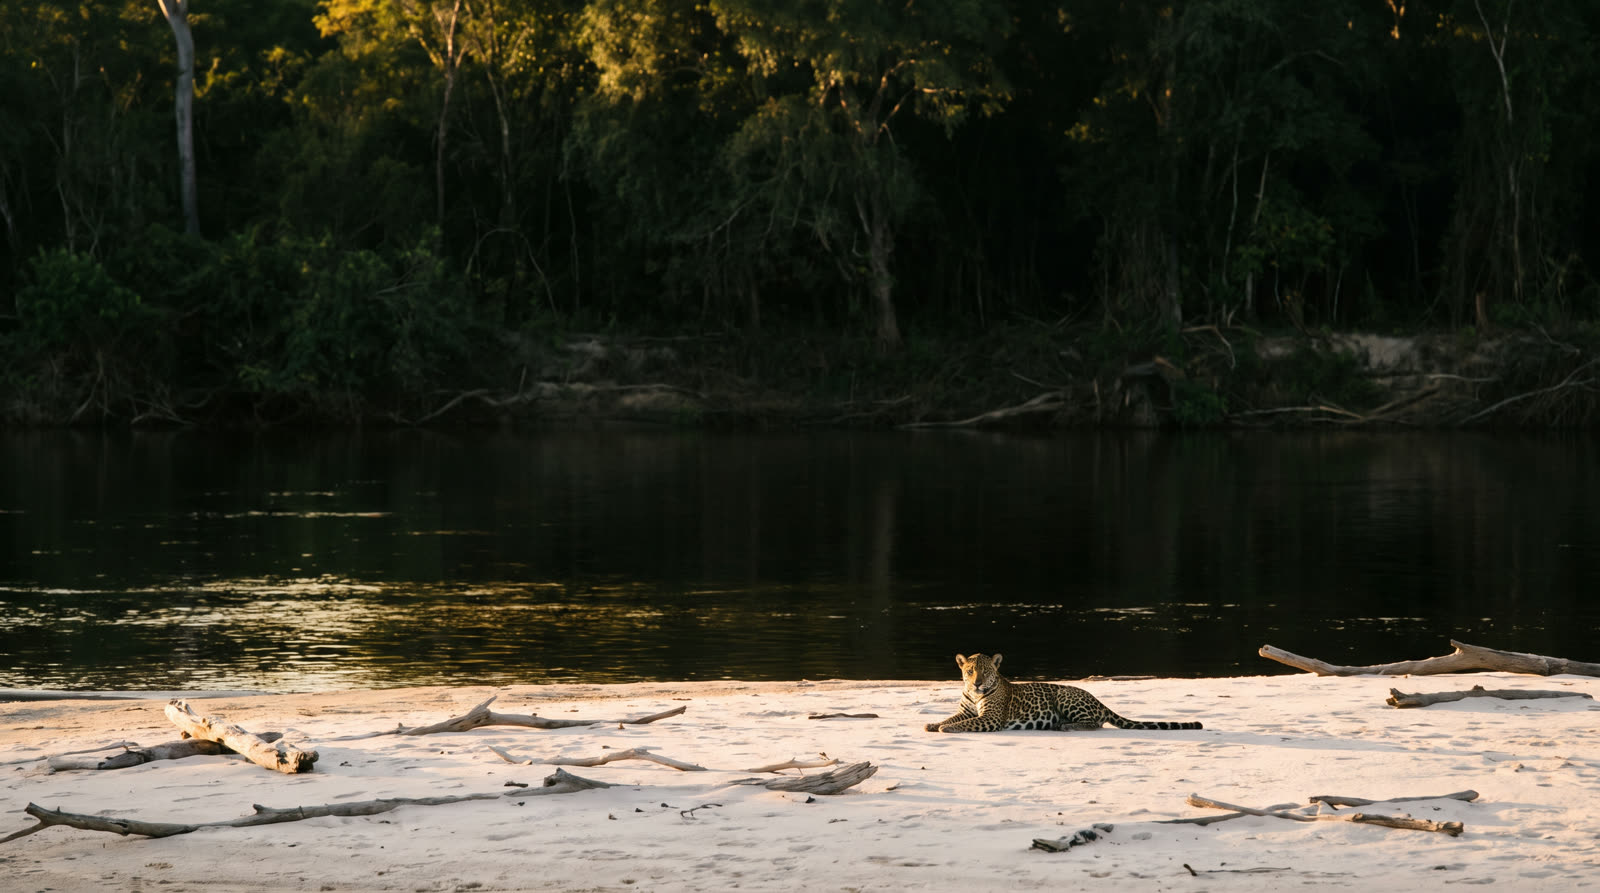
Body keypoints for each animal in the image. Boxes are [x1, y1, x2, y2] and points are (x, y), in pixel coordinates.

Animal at [924, 652, 1204, 733]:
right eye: (970, 671)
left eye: (985, 671)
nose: (977, 684)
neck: (975, 695)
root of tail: (1098, 700)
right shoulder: (966, 710)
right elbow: (954, 717)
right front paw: (933, 724)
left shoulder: (990, 718)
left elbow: (964, 723)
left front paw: (946, 729)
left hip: (1065, 696)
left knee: (1096, 724)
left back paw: (1065, 726)